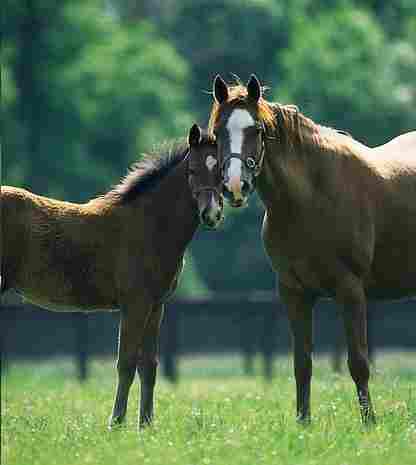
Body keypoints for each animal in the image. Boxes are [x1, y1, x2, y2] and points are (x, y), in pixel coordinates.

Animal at [0, 125, 224, 430]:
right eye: (192, 170)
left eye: (222, 170)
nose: (211, 214)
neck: (149, 224)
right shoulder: (134, 304)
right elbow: (126, 363)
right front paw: (116, 423)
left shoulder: (156, 306)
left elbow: (149, 366)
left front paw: (146, 426)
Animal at [211, 73, 416, 424]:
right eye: (217, 132)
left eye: (257, 130)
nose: (235, 186)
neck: (310, 197)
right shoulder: (294, 292)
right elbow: (302, 364)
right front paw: (303, 423)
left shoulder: (350, 290)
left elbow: (358, 363)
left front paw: (369, 423)